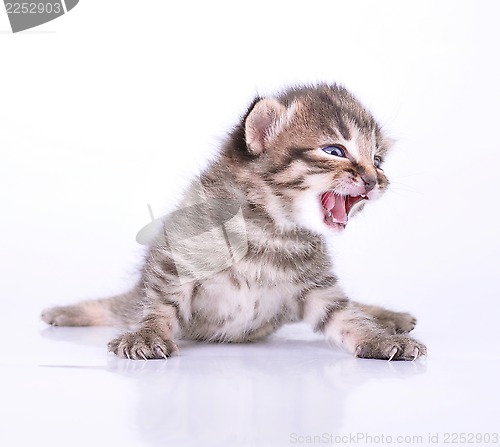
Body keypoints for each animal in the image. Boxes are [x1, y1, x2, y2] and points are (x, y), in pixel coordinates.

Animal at [42, 85, 426, 364]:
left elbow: (348, 317)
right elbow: (159, 304)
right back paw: (62, 312)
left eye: (378, 160)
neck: (271, 230)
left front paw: (378, 338)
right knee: (120, 305)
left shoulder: (319, 290)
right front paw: (147, 336)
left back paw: (389, 318)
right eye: (334, 151)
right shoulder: (176, 259)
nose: (375, 180)